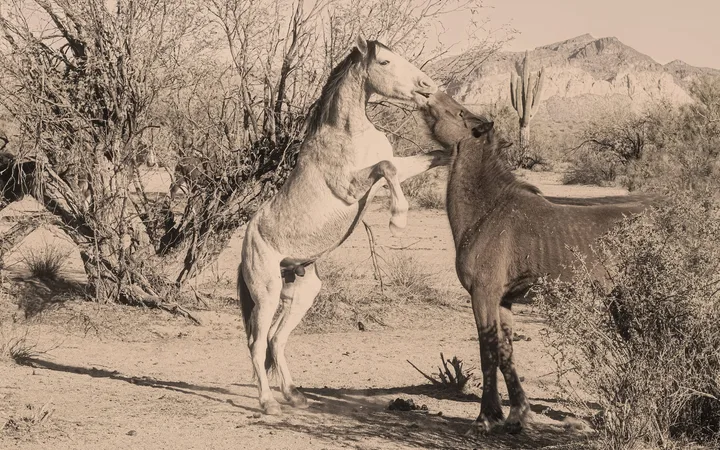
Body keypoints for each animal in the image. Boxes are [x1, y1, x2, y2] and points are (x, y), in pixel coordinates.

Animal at [238, 37, 448, 415]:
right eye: (384, 61)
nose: (426, 86)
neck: (350, 133)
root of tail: (249, 241)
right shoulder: (352, 187)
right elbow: (386, 168)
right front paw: (398, 219)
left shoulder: (391, 170)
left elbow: (427, 158)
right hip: (267, 294)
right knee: (258, 343)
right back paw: (268, 403)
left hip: (303, 293)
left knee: (277, 339)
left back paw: (294, 395)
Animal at [421, 91, 655, 435]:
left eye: (460, 113)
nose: (429, 94)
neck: (486, 211)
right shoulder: (504, 301)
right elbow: (505, 352)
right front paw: (517, 414)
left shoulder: (483, 295)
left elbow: (487, 352)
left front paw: (485, 418)